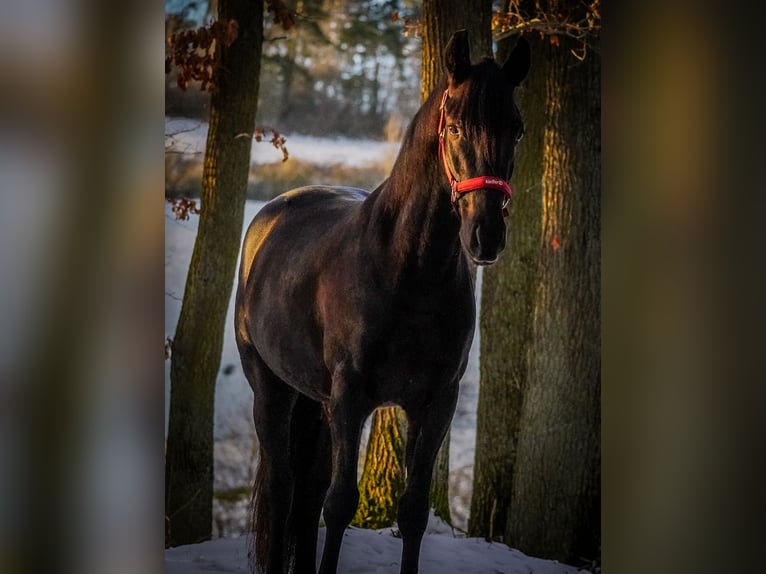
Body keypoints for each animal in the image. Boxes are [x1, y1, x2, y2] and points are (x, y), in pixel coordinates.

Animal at [237, 31, 532, 574]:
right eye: (454, 127)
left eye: (518, 131)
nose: (486, 235)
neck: (407, 271)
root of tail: (270, 214)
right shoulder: (350, 398)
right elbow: (340, 504)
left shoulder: (436, 403)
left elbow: (412, 512)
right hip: (271, 388)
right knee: (285, 487)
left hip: (316, 401)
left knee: (305, 493)